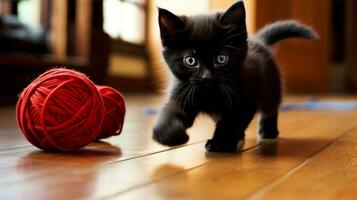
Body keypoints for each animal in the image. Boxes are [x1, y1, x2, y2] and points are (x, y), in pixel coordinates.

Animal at [153, 1, 318, 152]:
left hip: (271, 86)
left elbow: (231, 122)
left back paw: (268, 131)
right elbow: (172, 111)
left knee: (270, 107)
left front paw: (220, 144)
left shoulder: (245, 99)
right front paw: (168, 135)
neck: (211, 95)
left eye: (221, 59)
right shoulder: (182, 90)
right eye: (190, 60)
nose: (207, 77)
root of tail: (259, 41)